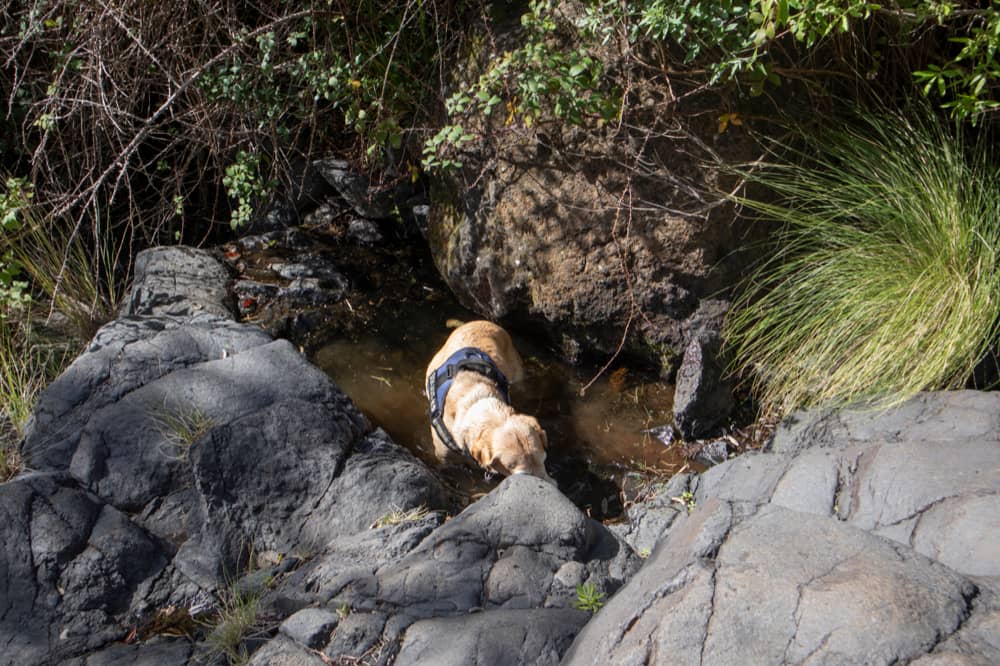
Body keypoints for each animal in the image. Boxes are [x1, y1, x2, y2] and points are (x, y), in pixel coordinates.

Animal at [424, 316, 556, 482]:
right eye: (523, 476)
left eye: (544, 460)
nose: (554, 485)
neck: (477, 404)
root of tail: (482, 321)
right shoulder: (444, 457)